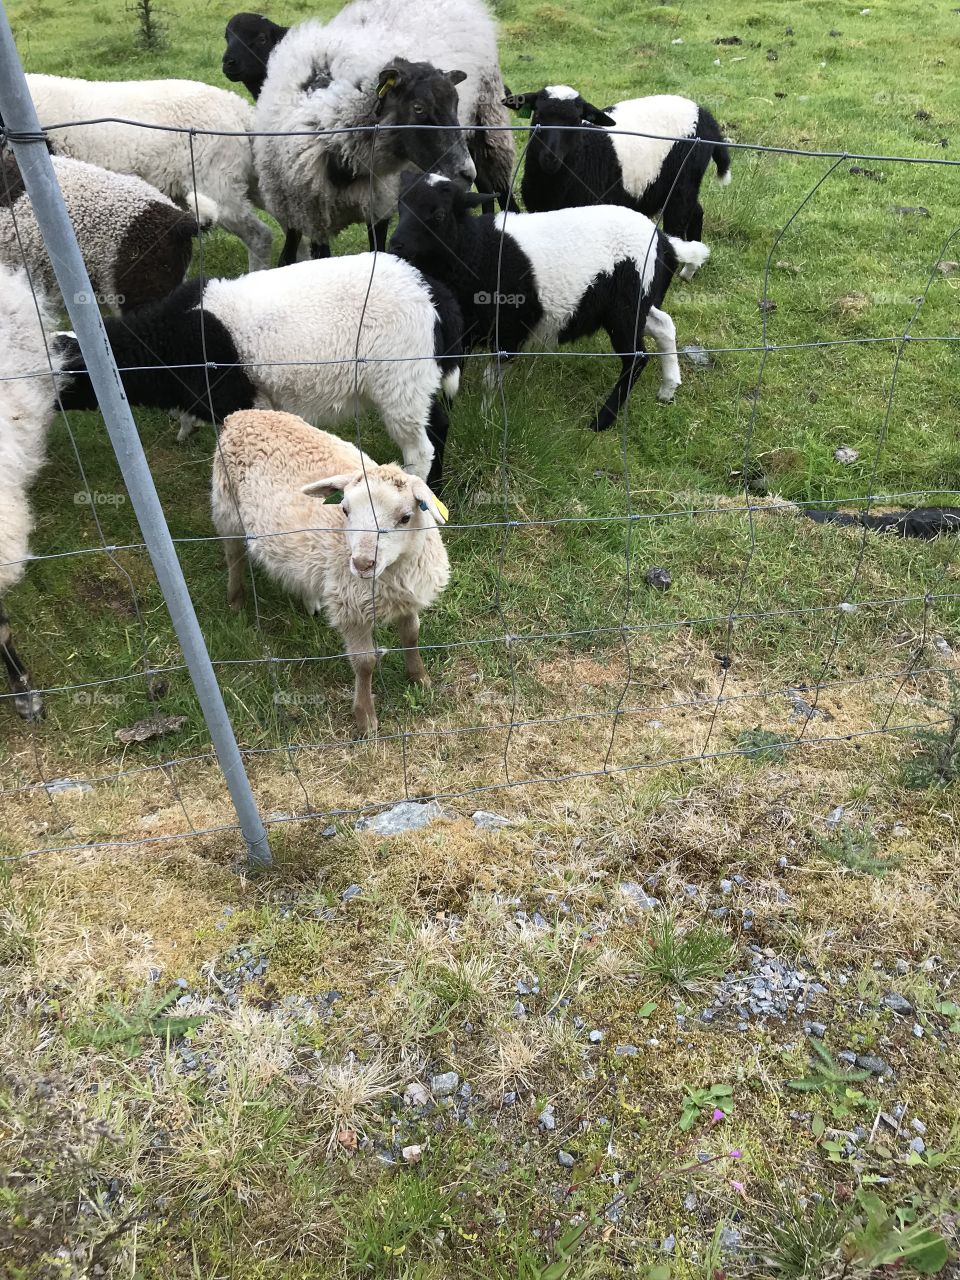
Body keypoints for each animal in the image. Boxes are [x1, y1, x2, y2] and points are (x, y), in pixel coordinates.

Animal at [57, 252, 464, 489]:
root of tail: (433, 292)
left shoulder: (238, 397)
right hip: (418, 380)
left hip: (401, 379)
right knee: (440, 423)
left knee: (420, 448)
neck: (167, 341)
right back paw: (438, 490)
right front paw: (185, 427)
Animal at [212, 408, 450, 735]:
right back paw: (236, 600)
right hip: (227, 509)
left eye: (405, 517)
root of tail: (242, 414)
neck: (393, 571)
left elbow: (412, 635)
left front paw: (420, 678)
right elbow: (365, 663)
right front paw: (365, 718)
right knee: (233, 555)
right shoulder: (351, 608)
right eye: (345, 510)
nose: (362, 564)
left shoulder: (407, 597)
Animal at [252, 0, 515, 264]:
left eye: (456, 103)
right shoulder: (300, 210)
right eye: (418, 108)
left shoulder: (378, 205)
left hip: (486, 120)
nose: (464, 172)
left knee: (499, 184)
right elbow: (290, 259)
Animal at [390, 173, 709, 428]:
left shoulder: (509, 328)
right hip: (636, 301)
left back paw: (602, 422)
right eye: (400, 206)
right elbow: (451, 375)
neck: (475, 249)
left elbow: (490, 379)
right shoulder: (465, 329)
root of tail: (664, 241)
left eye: (439, 214)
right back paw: (668, 388)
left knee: (637, 358)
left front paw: (485, 418)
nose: (395, 245)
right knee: (664, 324)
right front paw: (450, 411)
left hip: (625, 307)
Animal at [504, 86, 730, 267]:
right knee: (696, 210)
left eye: (576, 120)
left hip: (685, 179)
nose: (550, 157)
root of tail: (705, 115)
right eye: (538, 115)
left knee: (678, 222)